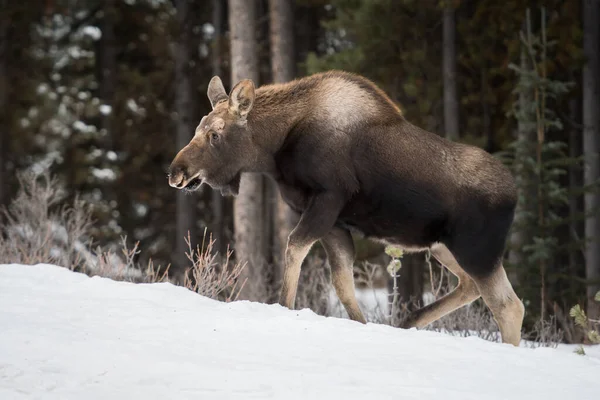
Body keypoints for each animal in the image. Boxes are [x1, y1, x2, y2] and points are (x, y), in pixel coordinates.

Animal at [169, 70, 524, 346]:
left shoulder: (327, 200)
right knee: (472, 287)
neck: (277, 147)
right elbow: (342, 283)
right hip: (443, 247)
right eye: (197, 129)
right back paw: (409, 321)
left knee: (509, 306)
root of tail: (514, 194)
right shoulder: (335, 223)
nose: (176, 172)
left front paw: (284, 307)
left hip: (477, 251)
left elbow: (295, 249)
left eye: (216, 135)